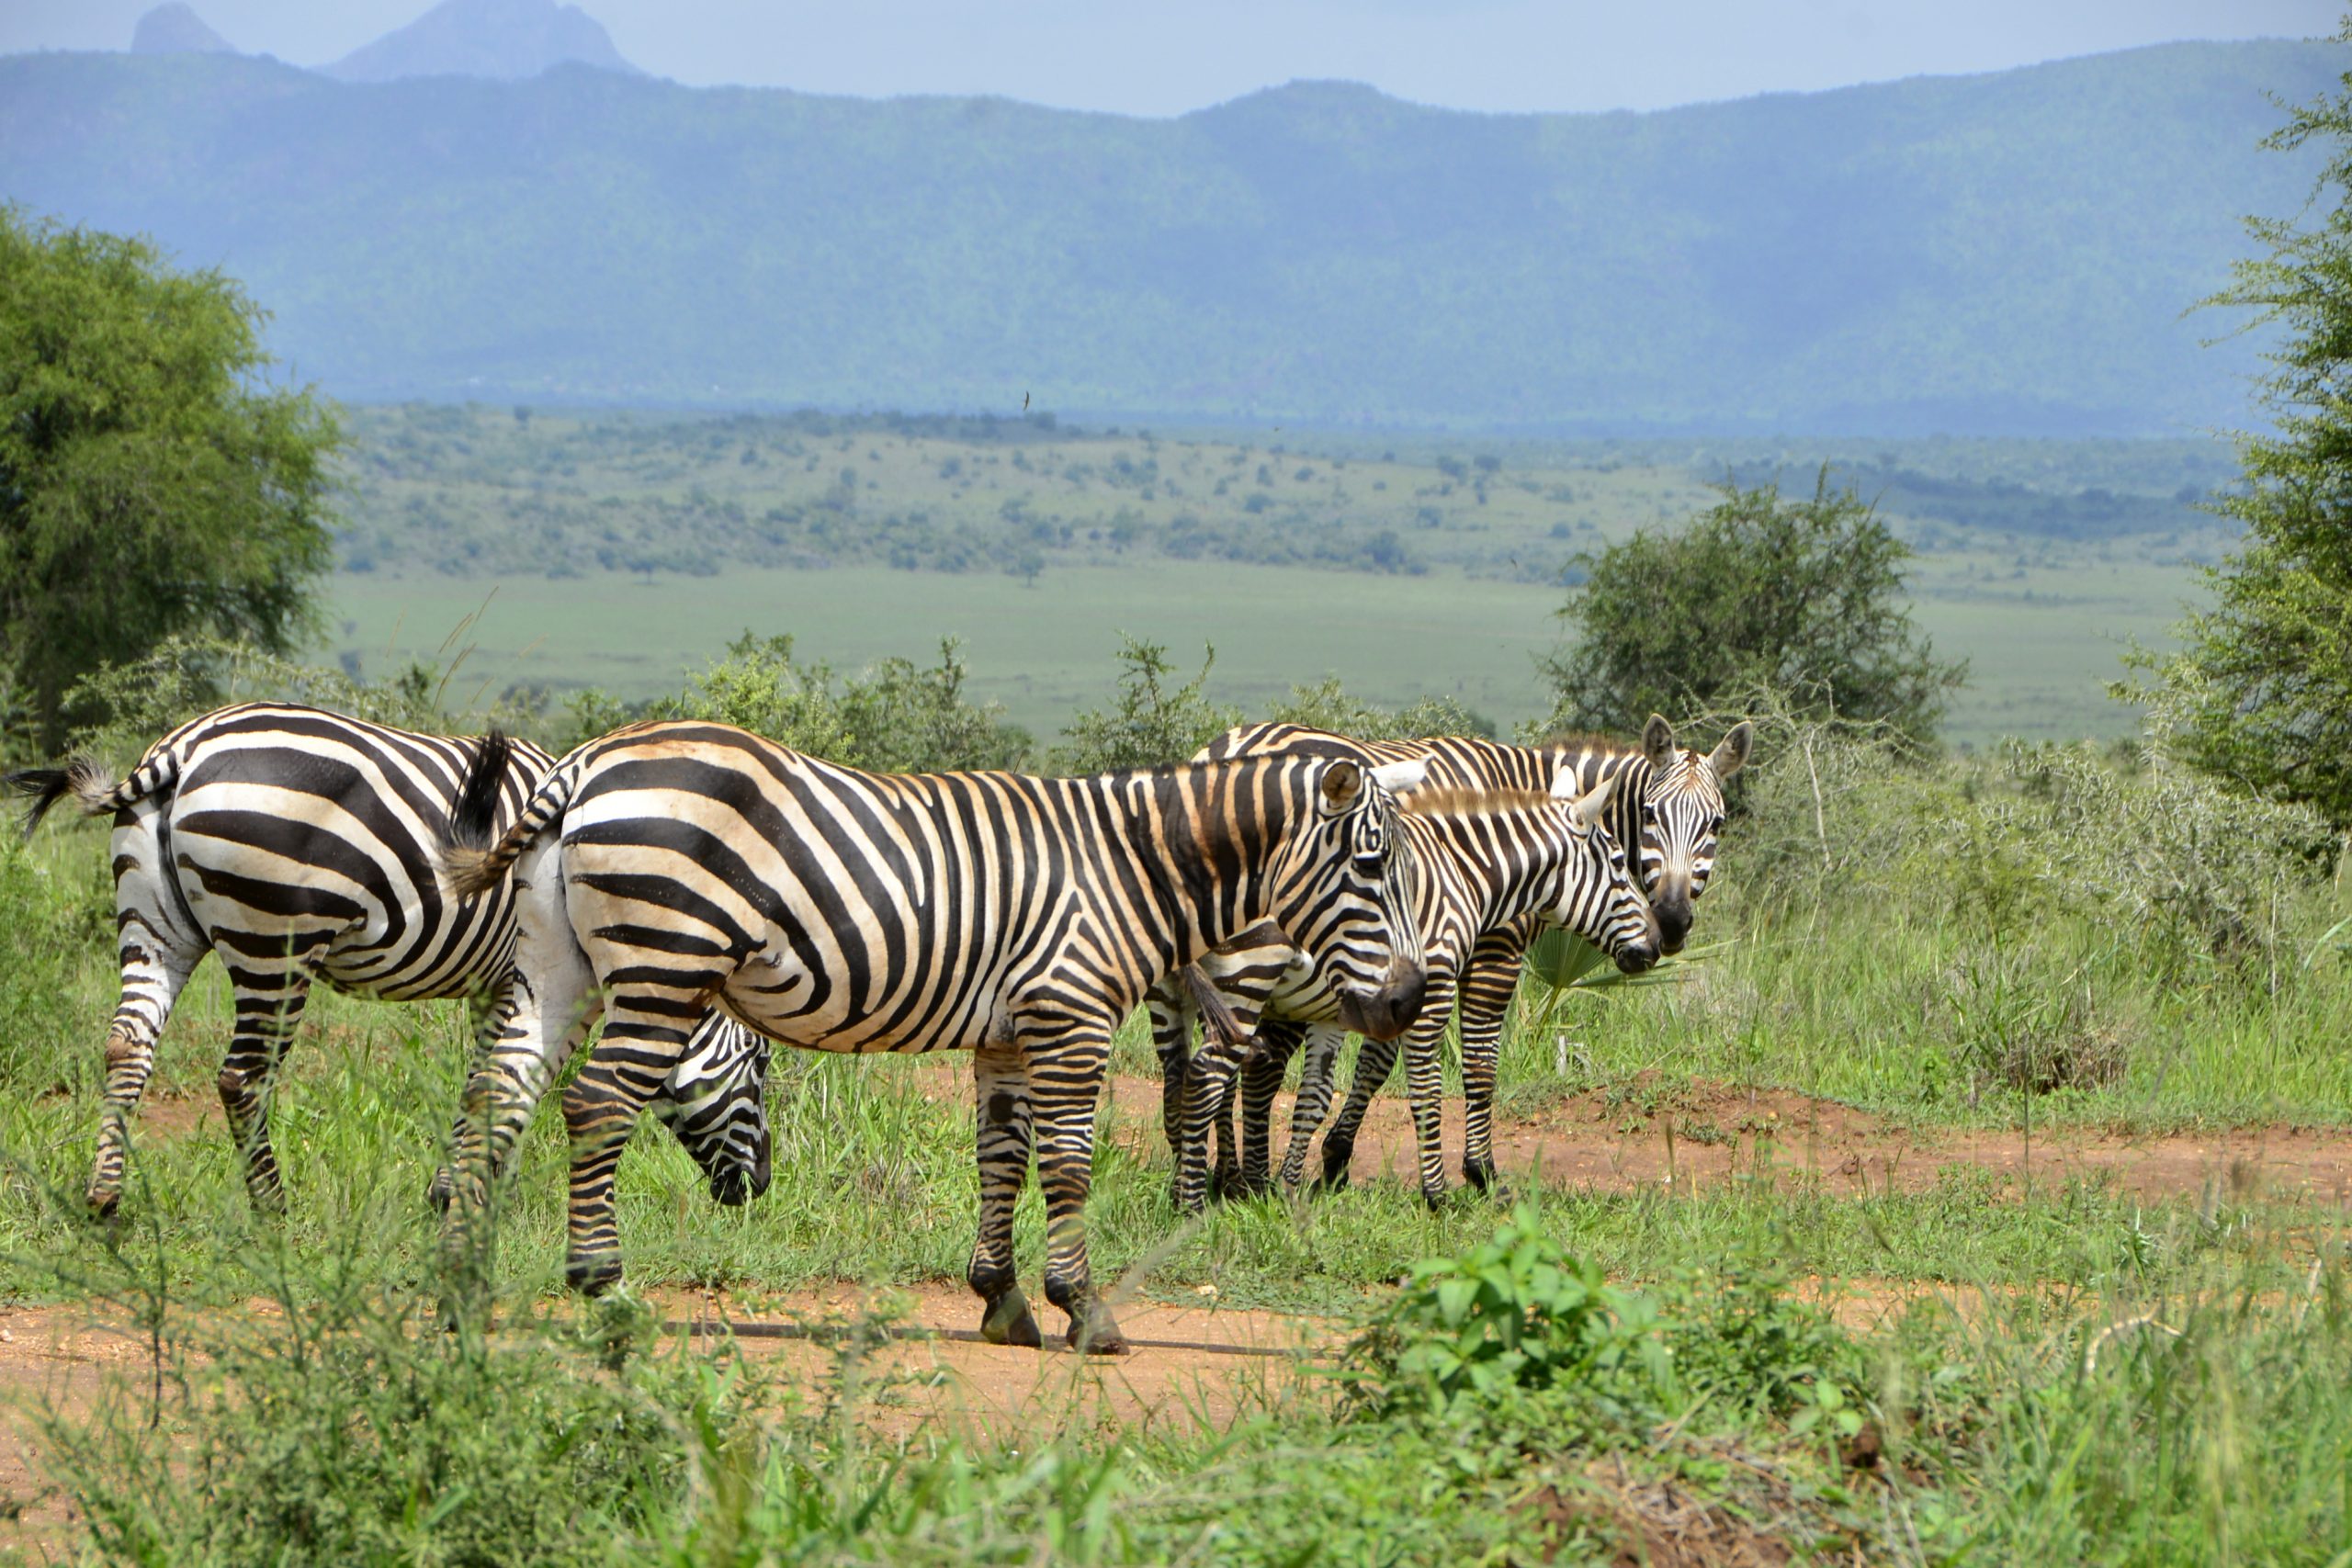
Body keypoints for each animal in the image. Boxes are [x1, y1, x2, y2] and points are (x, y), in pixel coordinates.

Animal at [7, 702, 773, 1218]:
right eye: (760, 1063)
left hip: (153, 923)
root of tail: (184, 750)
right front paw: (473, 1189)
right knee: (241, 1078)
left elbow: (485, 1076)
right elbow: (504, 1077)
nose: (759, 1188)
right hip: (274, 943)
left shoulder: (493, 982)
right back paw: (273, 1208)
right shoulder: (527, 978)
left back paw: (104, 1196)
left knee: (127, 1044)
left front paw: (464, 1185)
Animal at [435, 719, 1430, 1353]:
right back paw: (603, 1288)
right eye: (1372, 866)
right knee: (597, 1106)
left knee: (497, 1093)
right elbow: (1068, 1164)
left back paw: (459, 1280)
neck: (1134, 864)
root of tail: (583, 767)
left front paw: (1002, 1302)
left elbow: (1001, 1157)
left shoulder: (1007, 1033)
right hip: (664, 964)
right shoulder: (1070, 1017)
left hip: (555, 966)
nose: (1411, 1000)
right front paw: (1084, 1310)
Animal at [1171, 714, 1750, 1196]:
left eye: (1717, 825)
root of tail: (1227, 745)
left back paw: (1227, 1176)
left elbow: (1378, 1061)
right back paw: (1235, 1179)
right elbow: (1477, 1062)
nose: (1670, 922)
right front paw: (1479, 1170)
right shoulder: (1496, 951)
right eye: (1650, 814)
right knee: (1248, 1065)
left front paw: (1336, 1157)